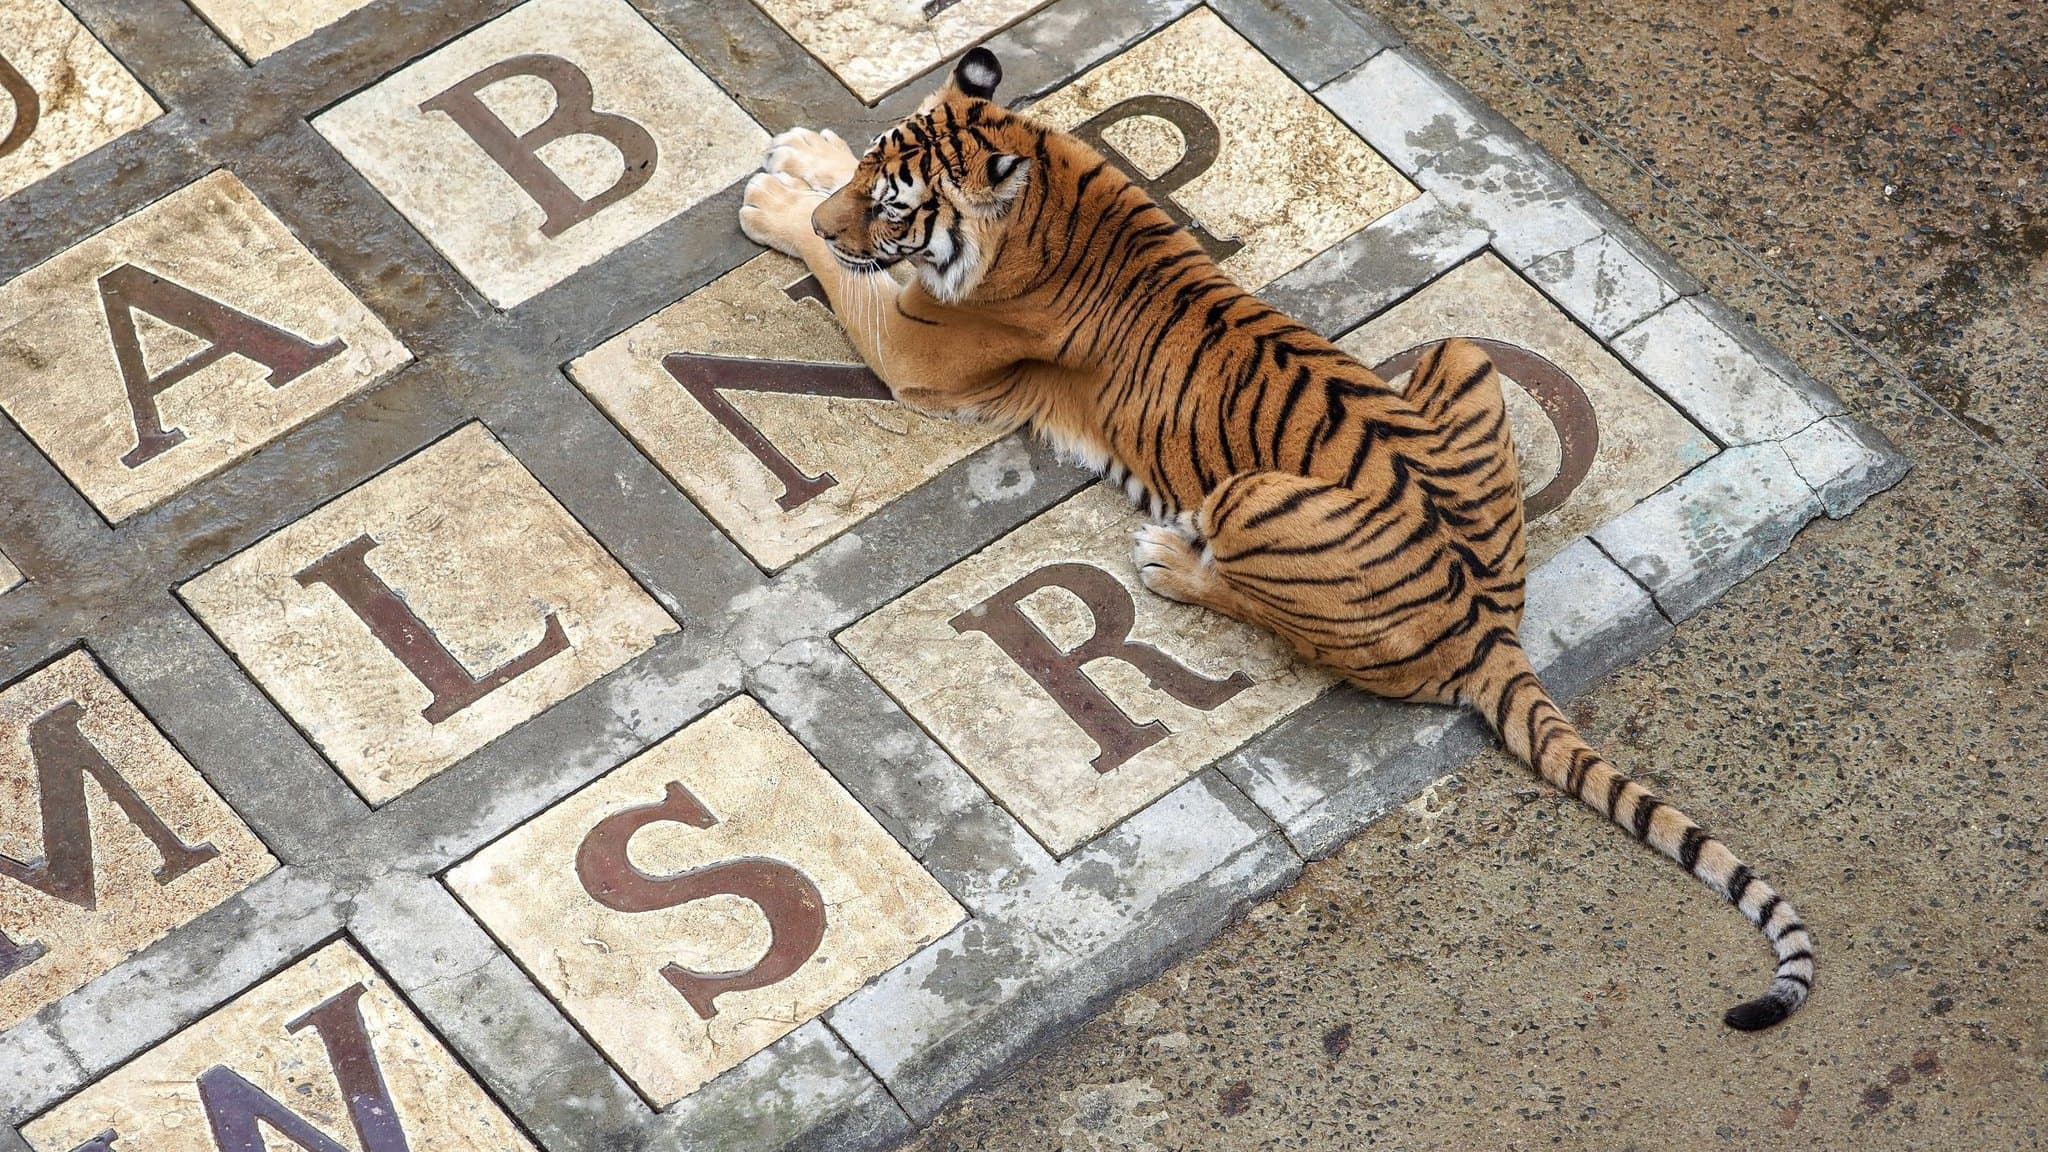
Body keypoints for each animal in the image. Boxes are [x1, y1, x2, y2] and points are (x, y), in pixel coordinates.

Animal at [733, 49, 1810, 1024]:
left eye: (896, 208)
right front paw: (806, 159)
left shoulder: (915, 348)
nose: (835, 215)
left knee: (1260, 607)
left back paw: (1170, 560)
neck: (1042, 177)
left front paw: (775, 201)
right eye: (875, 181)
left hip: (1250, 493)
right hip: (1454, 352)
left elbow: (842, 276)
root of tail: (1490, 624)